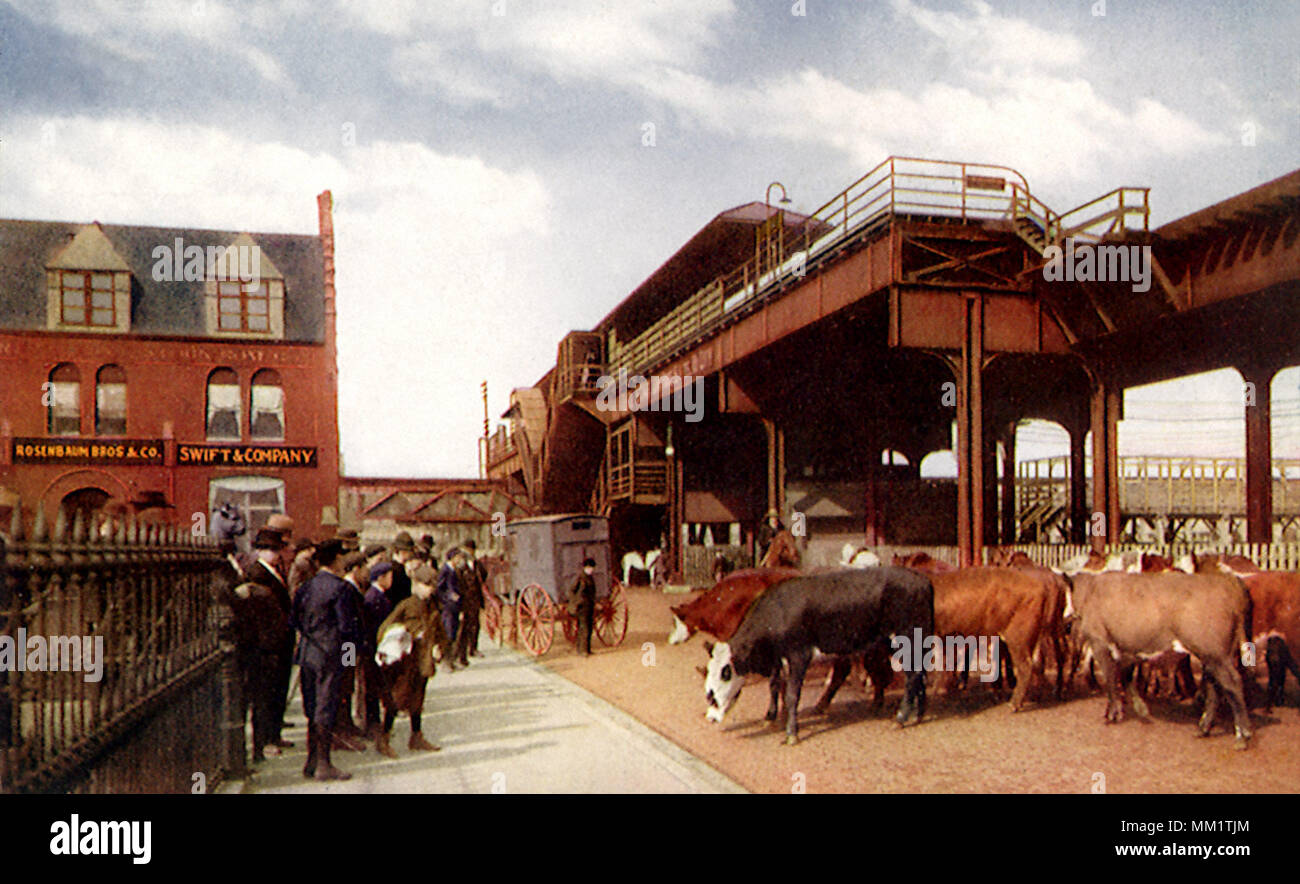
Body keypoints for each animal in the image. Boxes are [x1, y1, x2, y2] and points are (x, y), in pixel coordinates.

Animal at [702, 561, 935, 743]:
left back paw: (901, 718)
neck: (778, 610)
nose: (710, 718)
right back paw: (918, 714)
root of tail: (922, 580)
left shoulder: (799, 655)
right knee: (920, 674)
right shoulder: (778, 659)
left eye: (712, 693)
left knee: (913, 676)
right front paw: (771, 716)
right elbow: (775, 685)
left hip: (907, 639)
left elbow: (792, 694)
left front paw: (791, 733)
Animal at [1060, 569, 1253, 748]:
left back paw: (1243, 736)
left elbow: (1110, 680)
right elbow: (1126, 677)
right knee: (1215, 687)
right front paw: (1140, 709)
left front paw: (1113, 714)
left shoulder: (1099, 643)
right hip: (1212, 656)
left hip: (1215, 654)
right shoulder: (1127, 649)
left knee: (1232, 684)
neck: (1091, 591)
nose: (1065, 617)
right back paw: (1204, 729)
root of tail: (1228, 580)